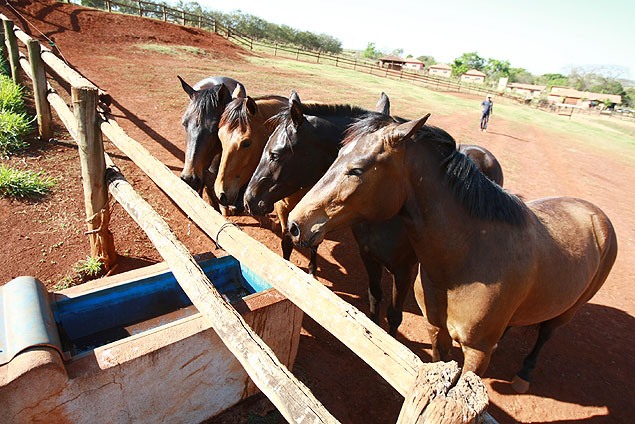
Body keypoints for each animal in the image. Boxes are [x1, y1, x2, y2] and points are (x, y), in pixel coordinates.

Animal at [246, 92, 504, 334]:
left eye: (275, 154)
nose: (248, 199)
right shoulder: (369, 256)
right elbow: (373, 299)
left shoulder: (403, 269)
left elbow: (394, 315)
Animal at [290, 112, 620, 390]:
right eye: (335, 155)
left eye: (356, 170)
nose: (295, 223)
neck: (466, 260)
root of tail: (597, 216)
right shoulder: (436, 329)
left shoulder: (476, 352)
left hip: (567, 312)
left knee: (545, 335)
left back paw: (524, 375)